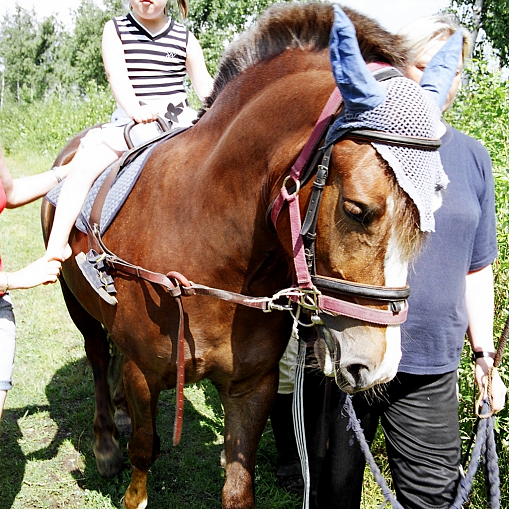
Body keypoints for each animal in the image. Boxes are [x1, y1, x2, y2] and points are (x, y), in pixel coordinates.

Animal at [40, 3, 428, 508]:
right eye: (356, 209)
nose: (379, 366)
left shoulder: (252, 386)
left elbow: (238, 486)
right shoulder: (146, 373)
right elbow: (145, 450)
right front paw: (129, 475)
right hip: (76, 305)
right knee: (98, 358)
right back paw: (107, 441)